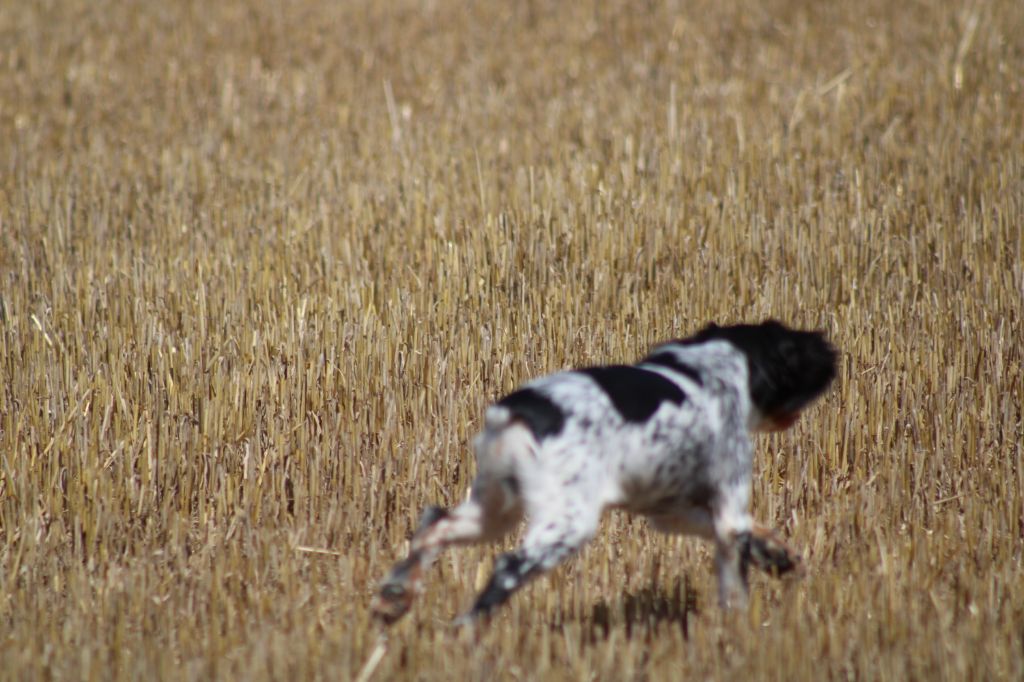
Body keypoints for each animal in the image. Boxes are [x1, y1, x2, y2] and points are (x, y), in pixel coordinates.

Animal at [372, 319, 835, 622]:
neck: (714, 364)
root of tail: (519, 412)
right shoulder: (727, 506)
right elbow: (735, 581)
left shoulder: (672, 512)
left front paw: (779, 554)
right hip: (566, 522)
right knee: (503, 570)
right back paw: (469, 635)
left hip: (492, 511)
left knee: (432, 524)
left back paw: (398, 595)